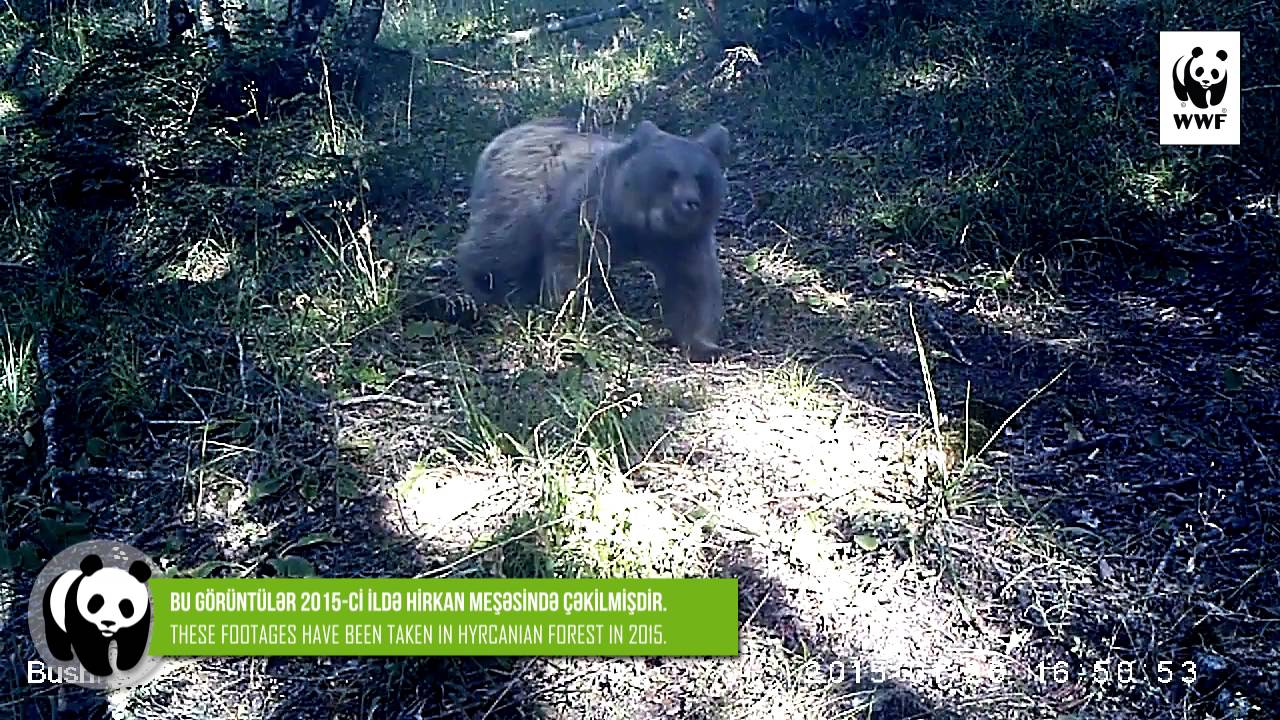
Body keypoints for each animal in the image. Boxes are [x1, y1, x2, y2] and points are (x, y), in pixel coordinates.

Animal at [454, 117, 731, 362]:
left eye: (701, 177)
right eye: (670, 173)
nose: (690, 202)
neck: (643, 227)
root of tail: (503, 137)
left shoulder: (683, 242)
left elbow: (693, 286)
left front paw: (705, 346)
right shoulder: (592, 213)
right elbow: (570, 260)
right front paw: (567, 312)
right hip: (520, 200)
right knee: (499, 248)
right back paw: (484, 289)